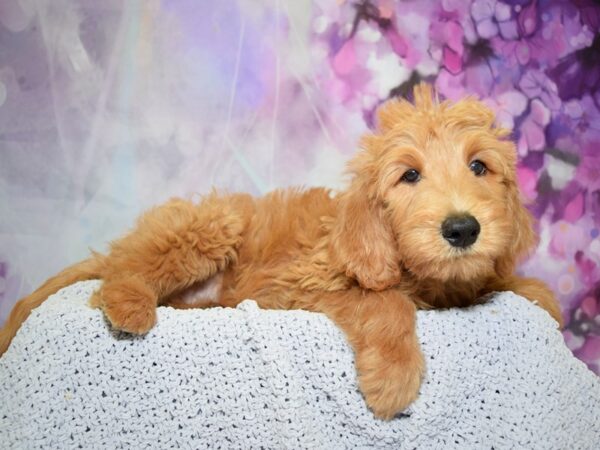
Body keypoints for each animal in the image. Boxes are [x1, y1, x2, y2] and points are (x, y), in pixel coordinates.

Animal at [0, 83, 564, 418]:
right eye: (409, 175)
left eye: (479, 167)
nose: (462, 229)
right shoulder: (298, 286)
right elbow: (383, 301)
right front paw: (394, 374)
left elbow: (501, 284)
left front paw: (535, 292)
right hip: (214, 223)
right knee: (121, 272)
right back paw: (130, 303)